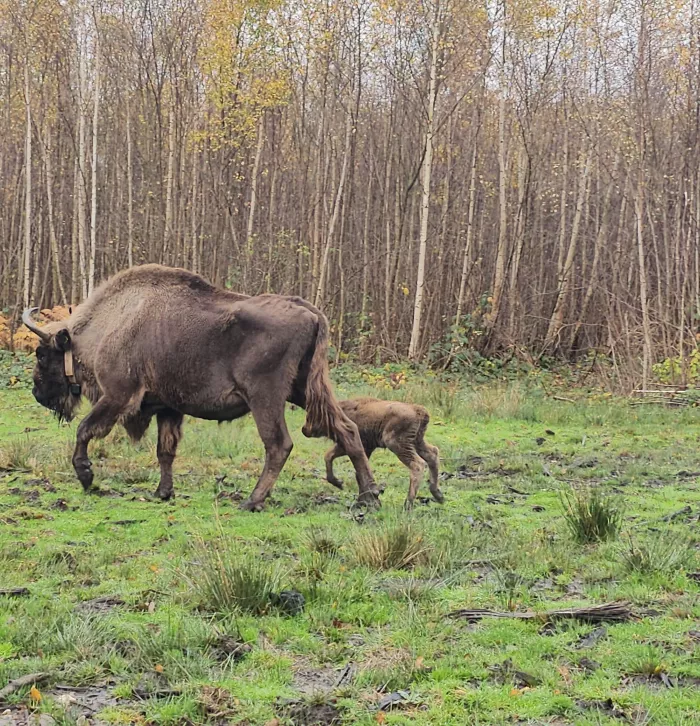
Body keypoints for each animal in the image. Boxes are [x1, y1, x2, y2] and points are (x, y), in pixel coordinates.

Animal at [21, 264, 379, 511]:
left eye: (42, 354)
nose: (37, 394)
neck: (108, 326)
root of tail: (309, 311)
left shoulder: (118, 396)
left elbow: (85, 429)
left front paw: (86, 476)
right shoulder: (167, 408)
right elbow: (165, 451)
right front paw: (163, 492)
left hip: (266, 397)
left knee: (279, 444)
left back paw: (252, 500)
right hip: (305, 390)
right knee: (347, 429)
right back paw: (369, 495)